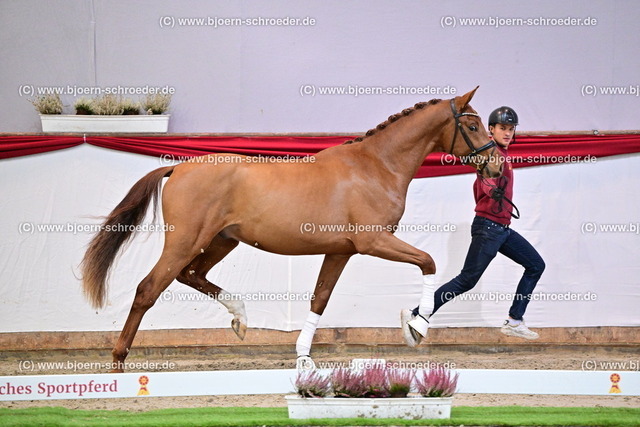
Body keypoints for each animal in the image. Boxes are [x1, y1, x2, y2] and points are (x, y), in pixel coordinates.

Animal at [80, 87, 503, 372]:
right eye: (471, 124)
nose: (497, 166)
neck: (376, 166)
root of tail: (178, 168)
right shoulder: (374, 241)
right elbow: (428, 261)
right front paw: (416, 325)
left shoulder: (341, 250)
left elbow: (320, 299)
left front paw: (303, 358)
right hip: (185, 241)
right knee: (148, 289)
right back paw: (119, 363)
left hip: (220, 242)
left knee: (192, 275)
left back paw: (241, 319)